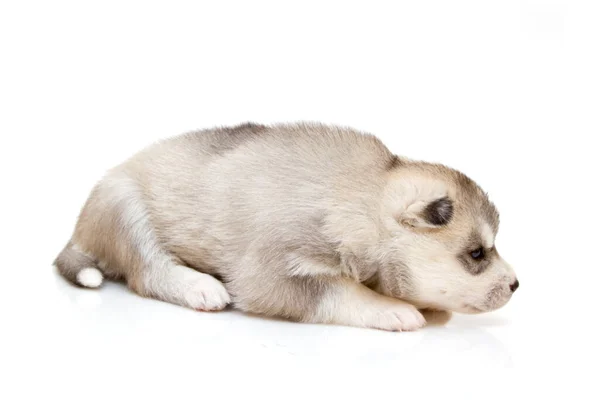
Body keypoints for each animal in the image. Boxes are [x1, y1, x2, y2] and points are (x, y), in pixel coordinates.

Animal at [54, 122, 516, 332]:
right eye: (477, 253)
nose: (516, 285)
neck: (357, 199)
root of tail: (79, 230)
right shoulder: (271, 273)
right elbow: (341, 290)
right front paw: (392, 308)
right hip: (126, 206)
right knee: (147, 271)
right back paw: (198, 286)